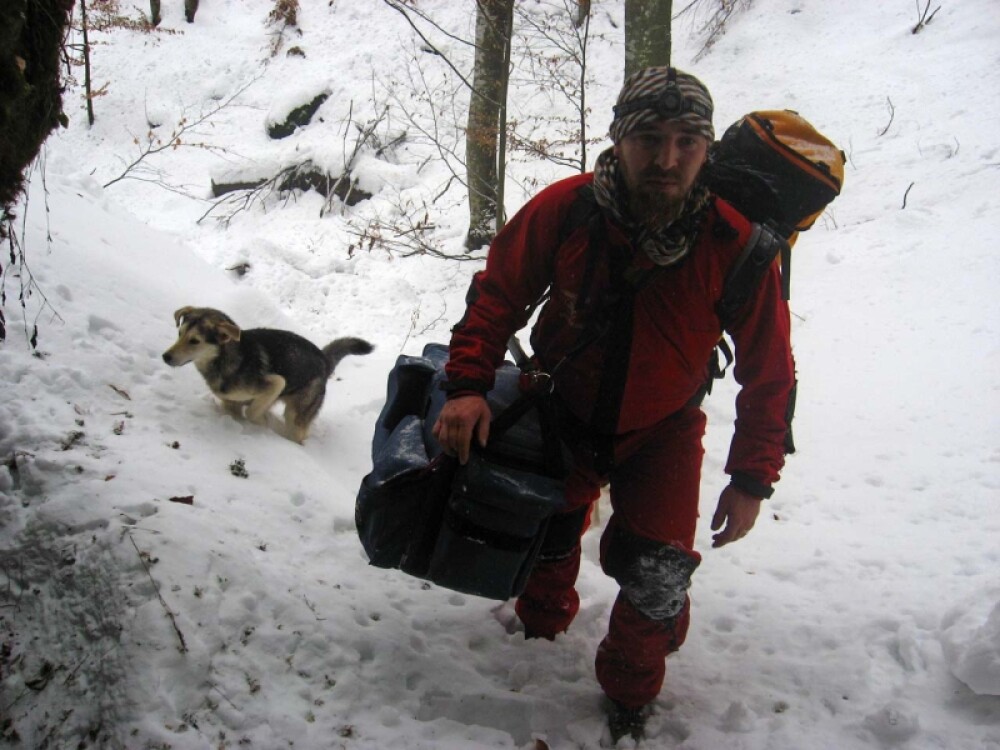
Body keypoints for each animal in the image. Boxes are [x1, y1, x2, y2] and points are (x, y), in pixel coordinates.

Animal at [164, 306, 376, 444]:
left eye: (194, 341)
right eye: (179, 333)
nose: (166, 357)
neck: (229, 359)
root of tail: (324, 360)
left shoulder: (275, 383)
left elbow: (252, 412)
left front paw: (263, 424)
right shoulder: (231, 404)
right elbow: (240, 412)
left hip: (296, 414)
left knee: (298, 434)